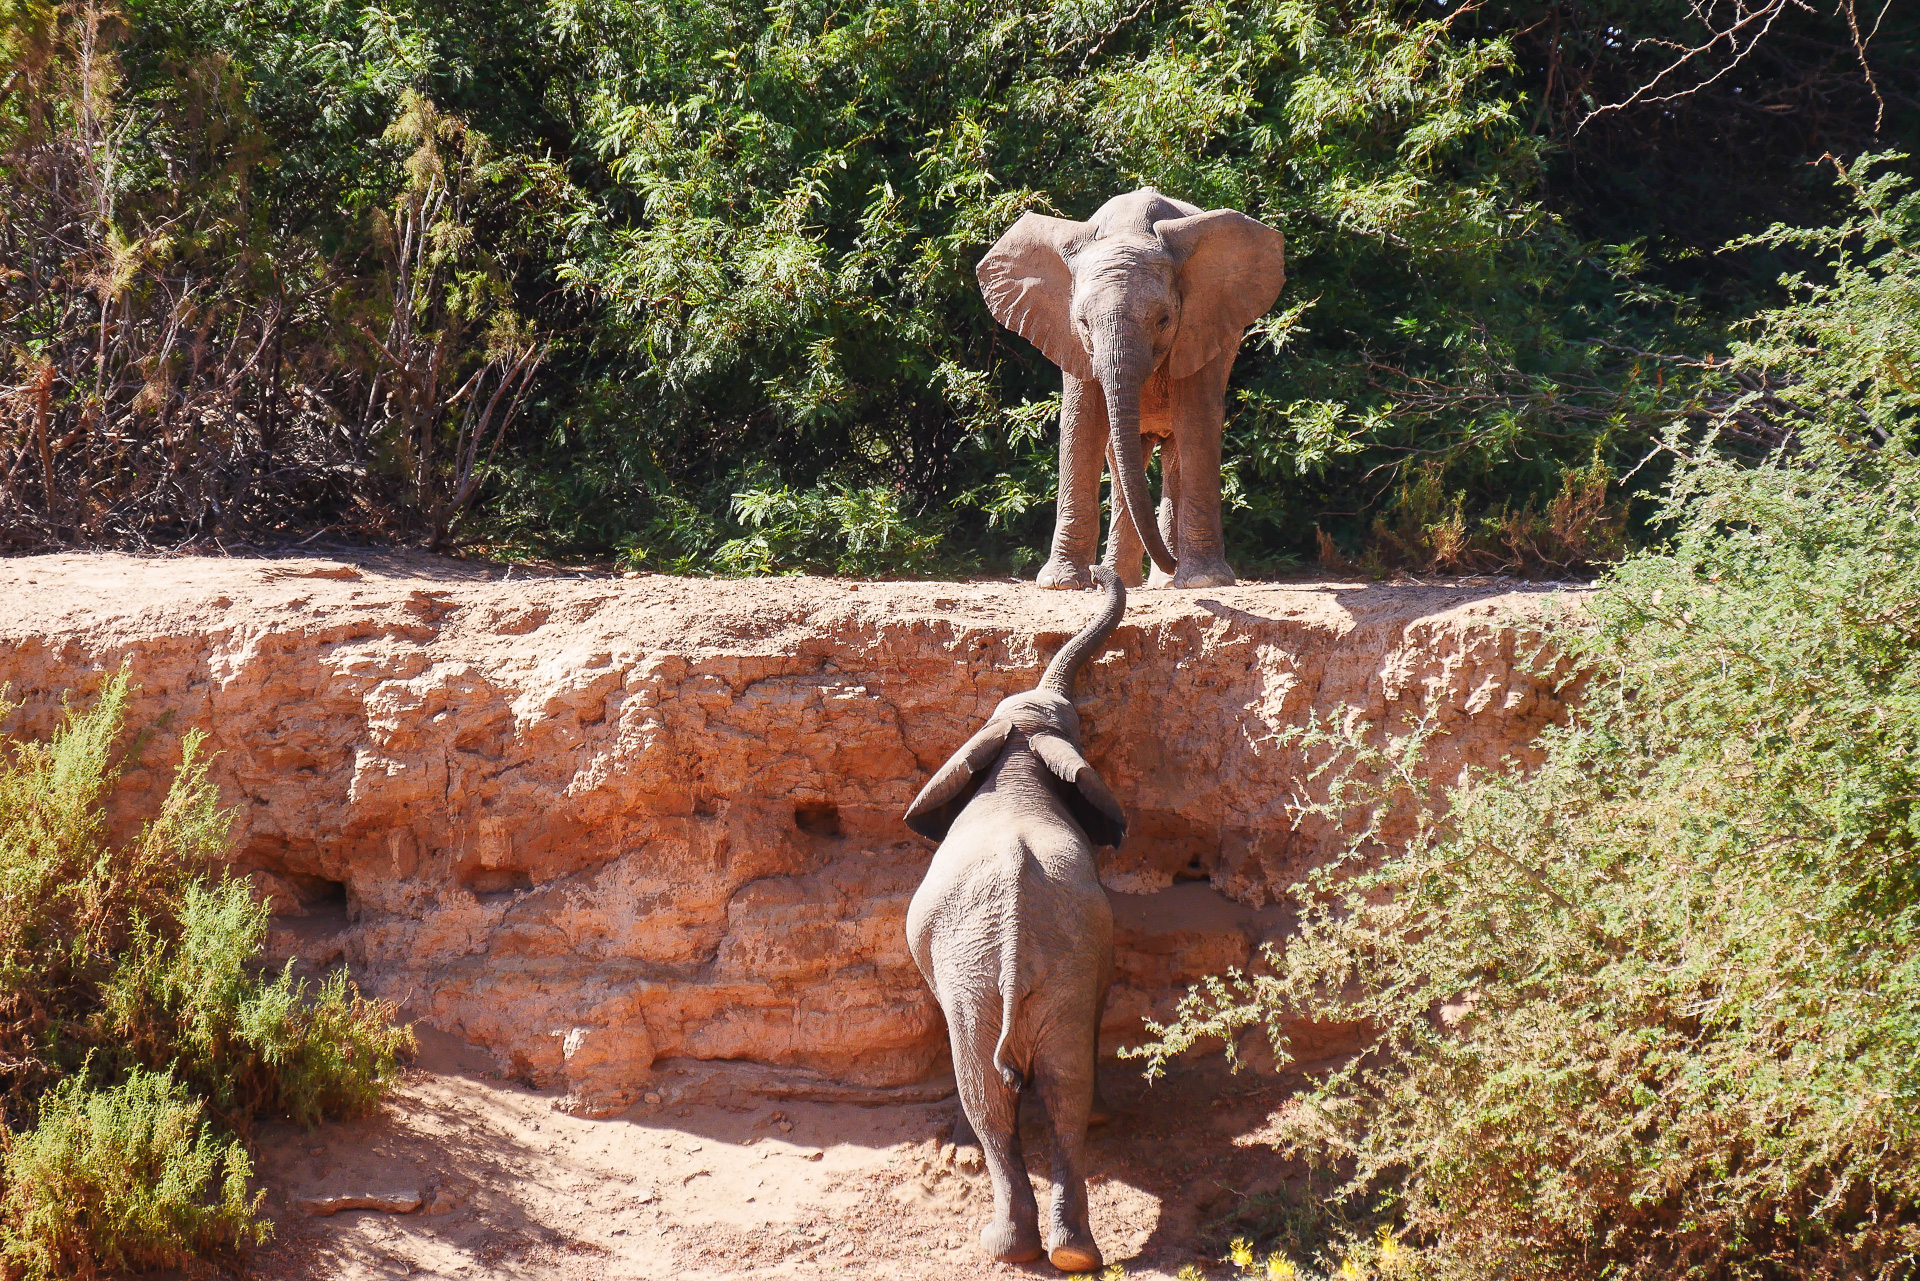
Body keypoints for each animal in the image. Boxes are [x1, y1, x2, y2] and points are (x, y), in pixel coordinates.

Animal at [898, 564, 1121, 1275]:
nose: (1101, 570)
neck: (1019, 759)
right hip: (1037, 974)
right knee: (1059, 1083)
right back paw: (1069, 1251)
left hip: (987, 979)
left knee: (995, 1093)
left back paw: (1011, 1247)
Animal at [983, 185, 1282, 591]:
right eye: (1082, 322)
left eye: (1164, 320)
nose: (1175, 564)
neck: (1128, 228)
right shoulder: (1071, 340)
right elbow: (1082, 422)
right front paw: (1061, 583)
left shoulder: (1203, 326)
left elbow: (1196, 421)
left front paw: (1204, 581)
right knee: (1122, 453)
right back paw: (1125, 578)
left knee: (1174, 454)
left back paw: (1163, 581)